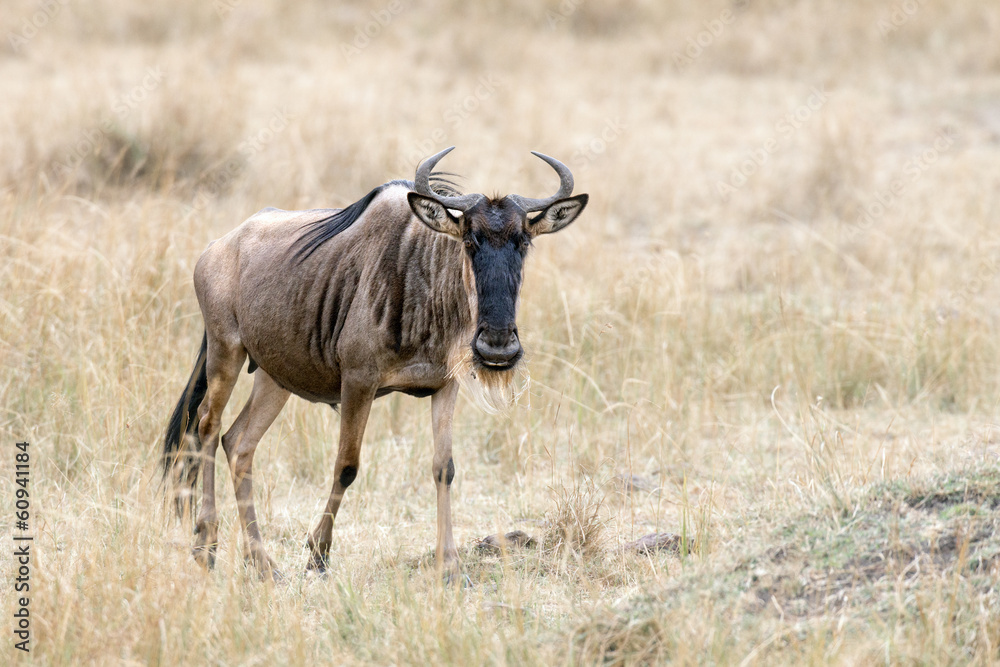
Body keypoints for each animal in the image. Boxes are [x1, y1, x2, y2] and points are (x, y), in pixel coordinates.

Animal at [163, 147, 588, 579]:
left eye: (524, 242)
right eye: (469, 240)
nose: (497, 347)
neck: (425, 282)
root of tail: (216, 247)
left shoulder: (445, 386)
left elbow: (444, 467)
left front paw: (450, 564)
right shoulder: (358, 382)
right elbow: (346, 466)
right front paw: (318, 554)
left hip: (273, 376)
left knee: (239, 443)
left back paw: (262, 562)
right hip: (225, 352)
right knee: (207, 427)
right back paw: (206, 545)